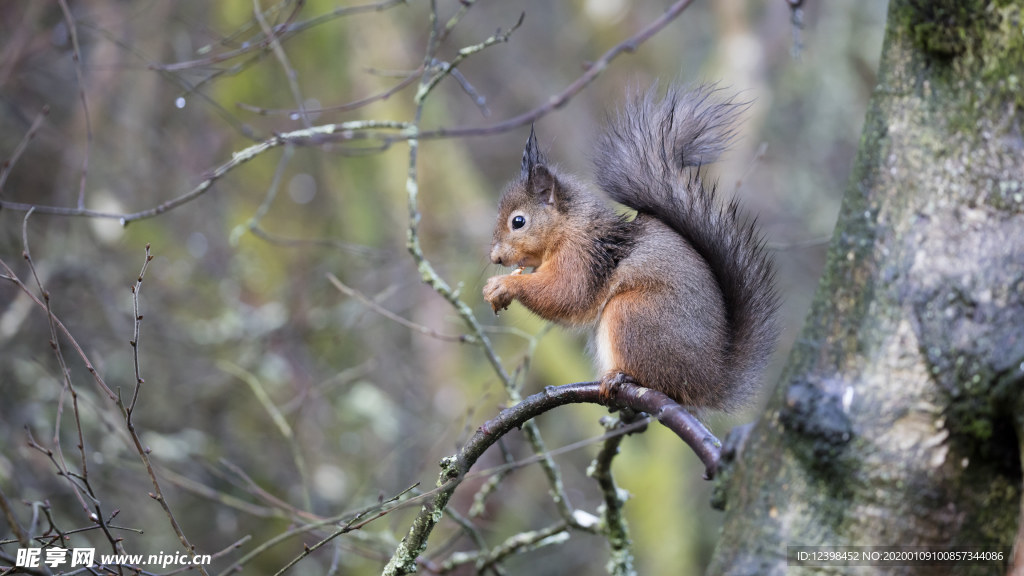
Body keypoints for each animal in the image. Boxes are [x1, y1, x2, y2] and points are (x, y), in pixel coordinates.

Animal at [483, 84, 778, 407]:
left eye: (518, 221)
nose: (495, 257)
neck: (568, 227)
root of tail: (710, 380)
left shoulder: (583, 256)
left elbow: (567, 294)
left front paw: (504, 285)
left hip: (634, 314)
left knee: (658, 379)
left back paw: (622, 377)